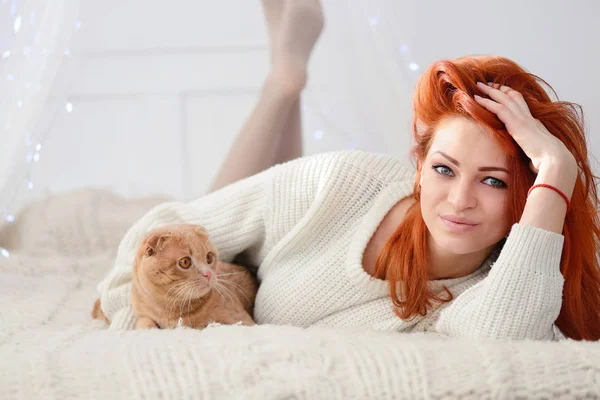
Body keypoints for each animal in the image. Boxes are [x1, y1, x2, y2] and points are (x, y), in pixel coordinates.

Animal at [92, 223, 258, 330]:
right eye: (185, 262)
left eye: (209, 257)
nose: (208, 274)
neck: (168, 307)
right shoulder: (142, 314)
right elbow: (144, 323)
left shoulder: (241, 321)